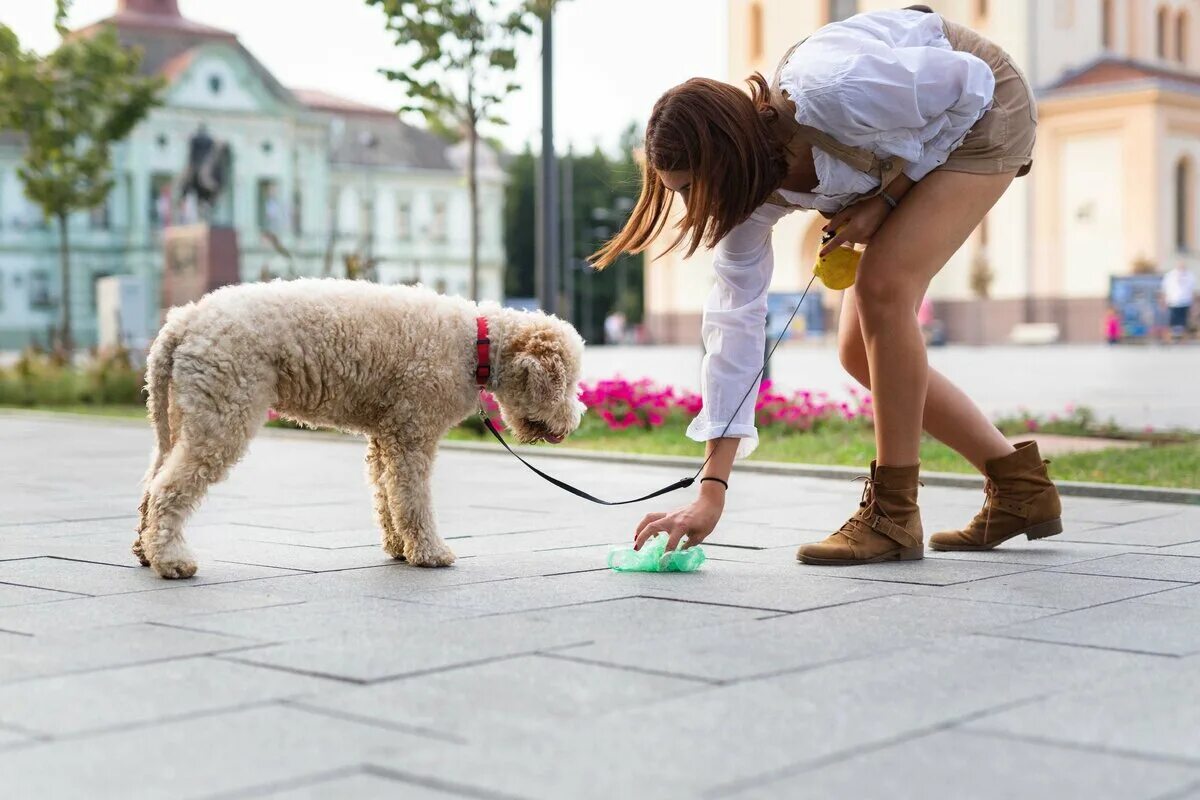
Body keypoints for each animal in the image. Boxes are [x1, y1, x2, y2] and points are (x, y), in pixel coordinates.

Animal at [133, 278, 583, 578]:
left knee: (152, 483)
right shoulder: (413, 433)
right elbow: (413, 499)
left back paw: (145, 550)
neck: (477, 345)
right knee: (170, 488)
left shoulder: (386, 436)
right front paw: (430, 552)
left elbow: (387, 496)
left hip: (182, 414)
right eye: (568, 382)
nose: (574, 422)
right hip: (223, 412)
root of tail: (183, 320)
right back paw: (172, 561)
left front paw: (399, 547)